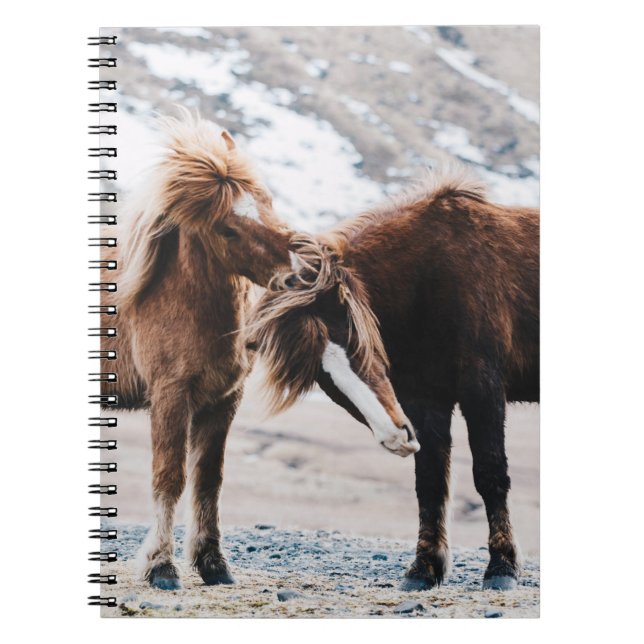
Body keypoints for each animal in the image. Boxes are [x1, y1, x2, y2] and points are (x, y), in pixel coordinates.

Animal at [99, 111, 293, 590]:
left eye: (267, 200)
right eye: (227, 227)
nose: (302, 268)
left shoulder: (223, 401)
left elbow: (208, 480)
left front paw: (212, 564)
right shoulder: (171, 396)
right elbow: (169, 477)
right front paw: (161, 567)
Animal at [246, 165, 539, 591]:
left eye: (356, 340)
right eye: (321, 376)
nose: (396, 438)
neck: (431, 277)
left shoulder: (482, 387)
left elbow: (489, 473)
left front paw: (501, 568)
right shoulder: (425, 399)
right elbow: (430, 483)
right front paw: (424, 569)